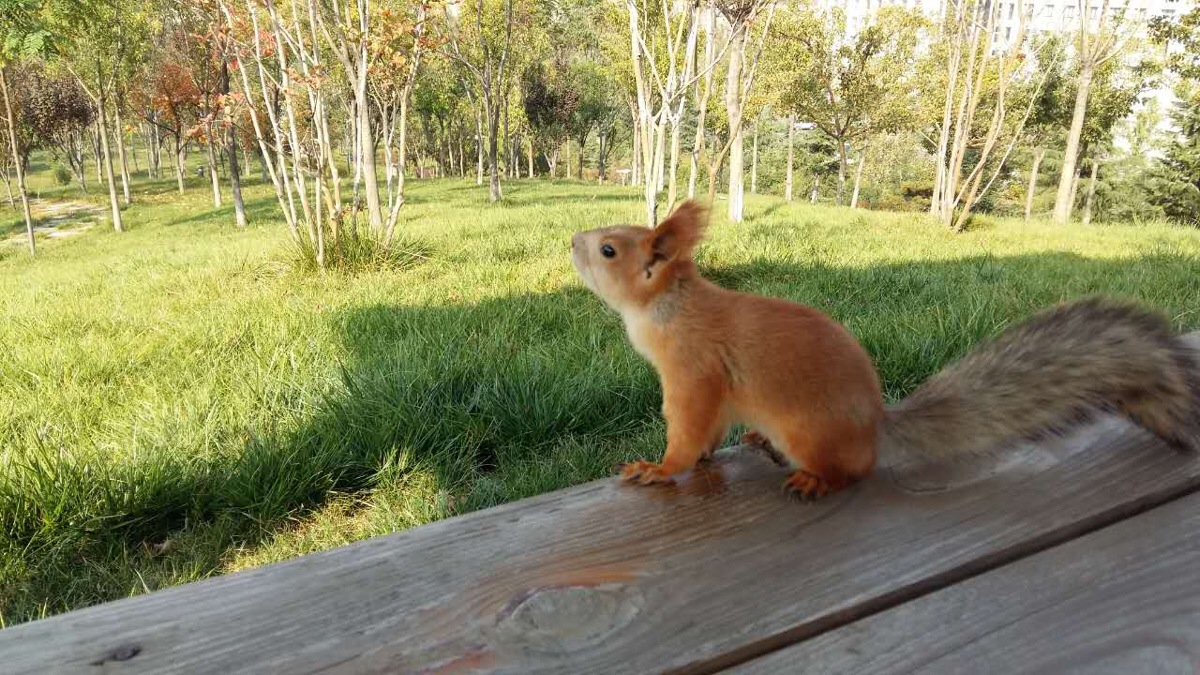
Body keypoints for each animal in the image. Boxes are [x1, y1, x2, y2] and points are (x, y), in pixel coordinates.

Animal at [568, 196, 1200, 497]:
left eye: (609, 250)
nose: (573, 238)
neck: (669, 309)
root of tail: (875, 427)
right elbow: (709, 432)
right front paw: (700, 457)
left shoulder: (693, 374)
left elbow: (688, 428)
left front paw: (660, 468)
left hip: (810, 432)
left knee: (853, 471)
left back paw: (816, 480)